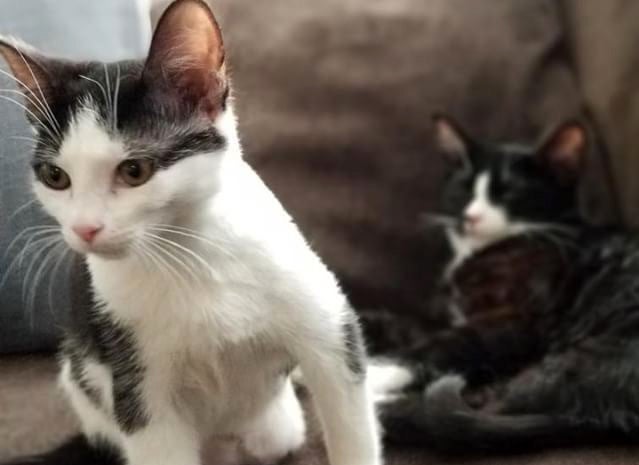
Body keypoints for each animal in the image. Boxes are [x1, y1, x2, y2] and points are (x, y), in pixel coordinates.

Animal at [0, 0, 380, 464]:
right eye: (56, 177)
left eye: (135, 170)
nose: (84, 228)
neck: (186, 253)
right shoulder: (137, 386)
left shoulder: (330, 331)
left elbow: (347, 406)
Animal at [370, 115, 639, 450]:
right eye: (464, 189)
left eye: (508, 193)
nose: (470, 217)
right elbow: (405, 325)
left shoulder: (516, 318)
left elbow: (446, 344)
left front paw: (374, 372)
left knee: (487, 407)